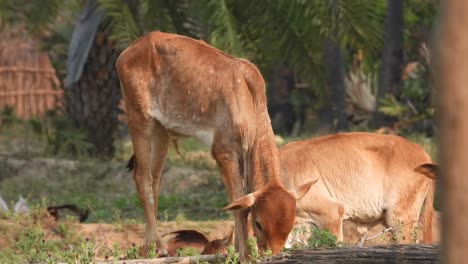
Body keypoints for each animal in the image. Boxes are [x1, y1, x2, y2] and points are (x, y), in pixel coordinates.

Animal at [116, 31, 314, 258]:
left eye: (289, 227)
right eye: (259, 223)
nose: (269, 254)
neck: (249, 101)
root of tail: (129, 50)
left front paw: (237, 248)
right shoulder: (223, 153)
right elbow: (239, 204)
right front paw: (244, 254)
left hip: (161, 131)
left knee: (155, 180)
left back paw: (154, 245)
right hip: (139, 119)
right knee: (142, 178)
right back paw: (155, 247)